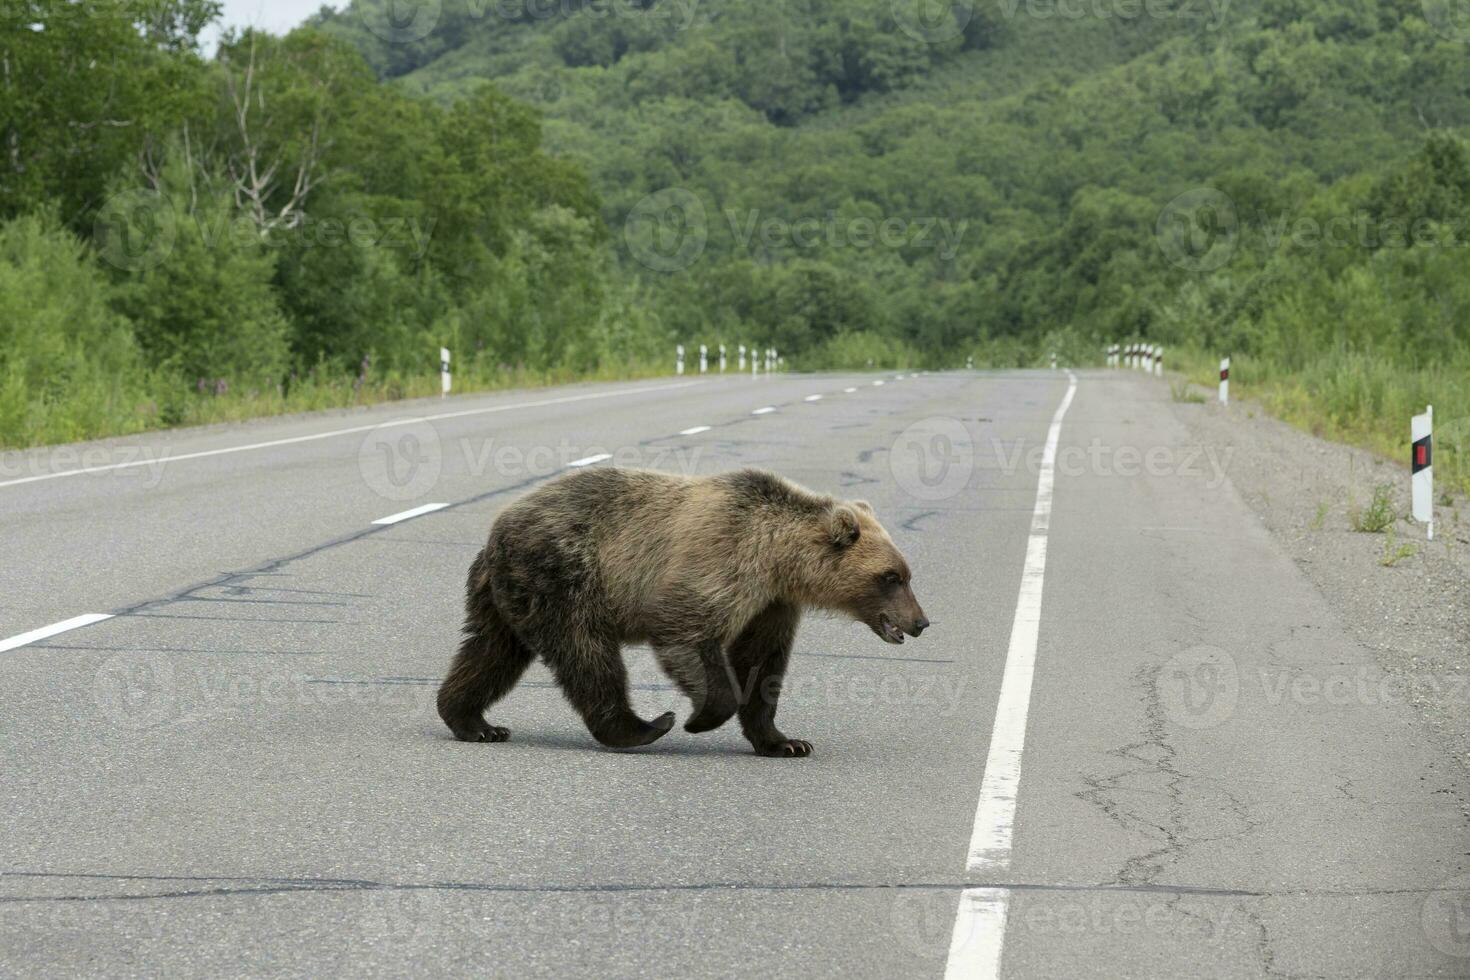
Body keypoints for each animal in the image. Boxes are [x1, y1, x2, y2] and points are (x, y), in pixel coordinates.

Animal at [429, 467, 923, 758]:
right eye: (891, 577)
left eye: (906, 573)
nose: (920, 622)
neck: (779, 558)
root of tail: (497, 529)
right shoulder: (723, 560)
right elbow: (685, 631)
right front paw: (699, 717)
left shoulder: (771, 603)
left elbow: (762, 662)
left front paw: (786, 741)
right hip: (565, 574)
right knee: (586, 652)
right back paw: (644, 726)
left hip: (508, 595)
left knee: (491, 651)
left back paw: (474, 722)